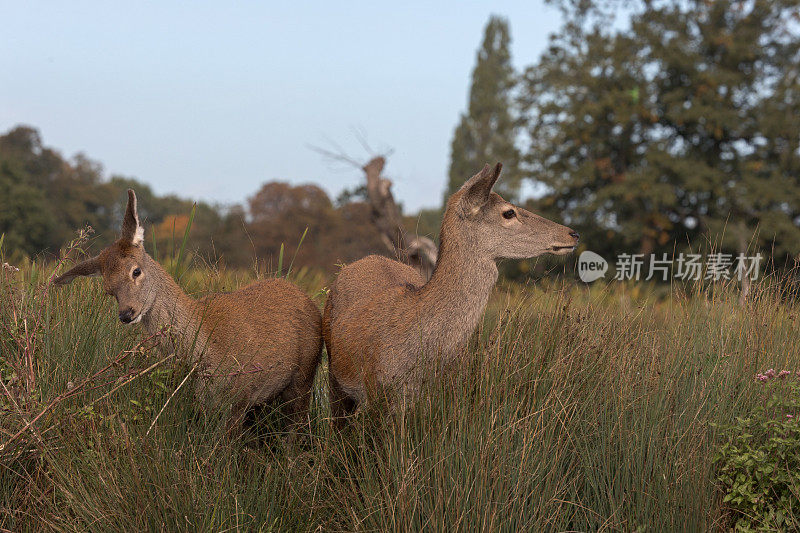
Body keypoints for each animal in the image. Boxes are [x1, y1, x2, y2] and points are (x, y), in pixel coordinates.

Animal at [53, 189, 324, 430]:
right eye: (108, 290)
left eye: (136, 271)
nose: (126, 314)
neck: (205, 351)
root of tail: (305, 296)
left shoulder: (240, 395)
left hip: (304, 374)